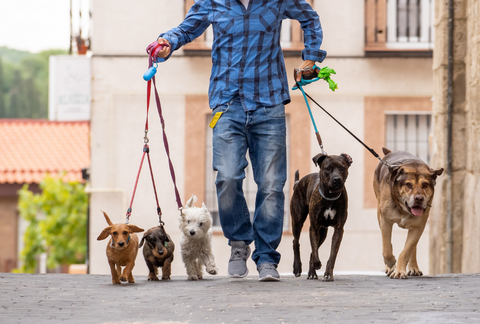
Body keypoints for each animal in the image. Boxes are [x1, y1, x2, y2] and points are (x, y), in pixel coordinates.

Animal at [374, 149, 444, 278]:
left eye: (425, 185)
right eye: (408, 185)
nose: (419, 198)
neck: (403, 209)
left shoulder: (418, 227)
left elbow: (406, 250)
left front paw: (399, 271)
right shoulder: (385, 221)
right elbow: (386, 249)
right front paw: (391, 263)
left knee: (412, 247)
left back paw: (413, 268)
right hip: (378, 213)